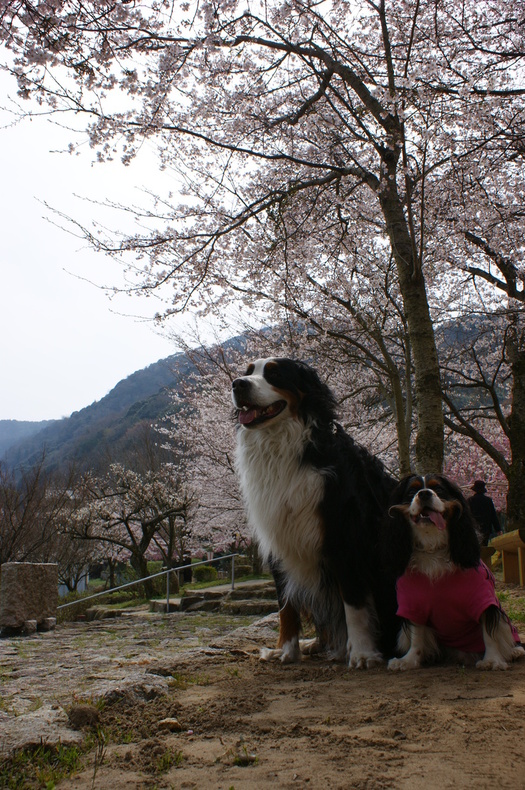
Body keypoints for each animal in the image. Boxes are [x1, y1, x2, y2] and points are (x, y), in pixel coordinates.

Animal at [229, 358, 398, 668]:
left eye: (274, 373)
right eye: (247, 372)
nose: (237, 384)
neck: (281, 444)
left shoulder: (344, 536)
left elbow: (353, 602)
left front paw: (362, 653)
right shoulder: (278, 541)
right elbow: (285, 606)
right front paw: (286, 650)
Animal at [384, 474, 524, 672]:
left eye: (439, 489)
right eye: (412, 492)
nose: (424, 493)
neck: (433, 545)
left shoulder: (483, 598)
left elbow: (488, 632)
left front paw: (492, 660)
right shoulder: (413, 603)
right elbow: (417, 635)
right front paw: (409, 661)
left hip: (505, 623)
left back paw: (514, 652)